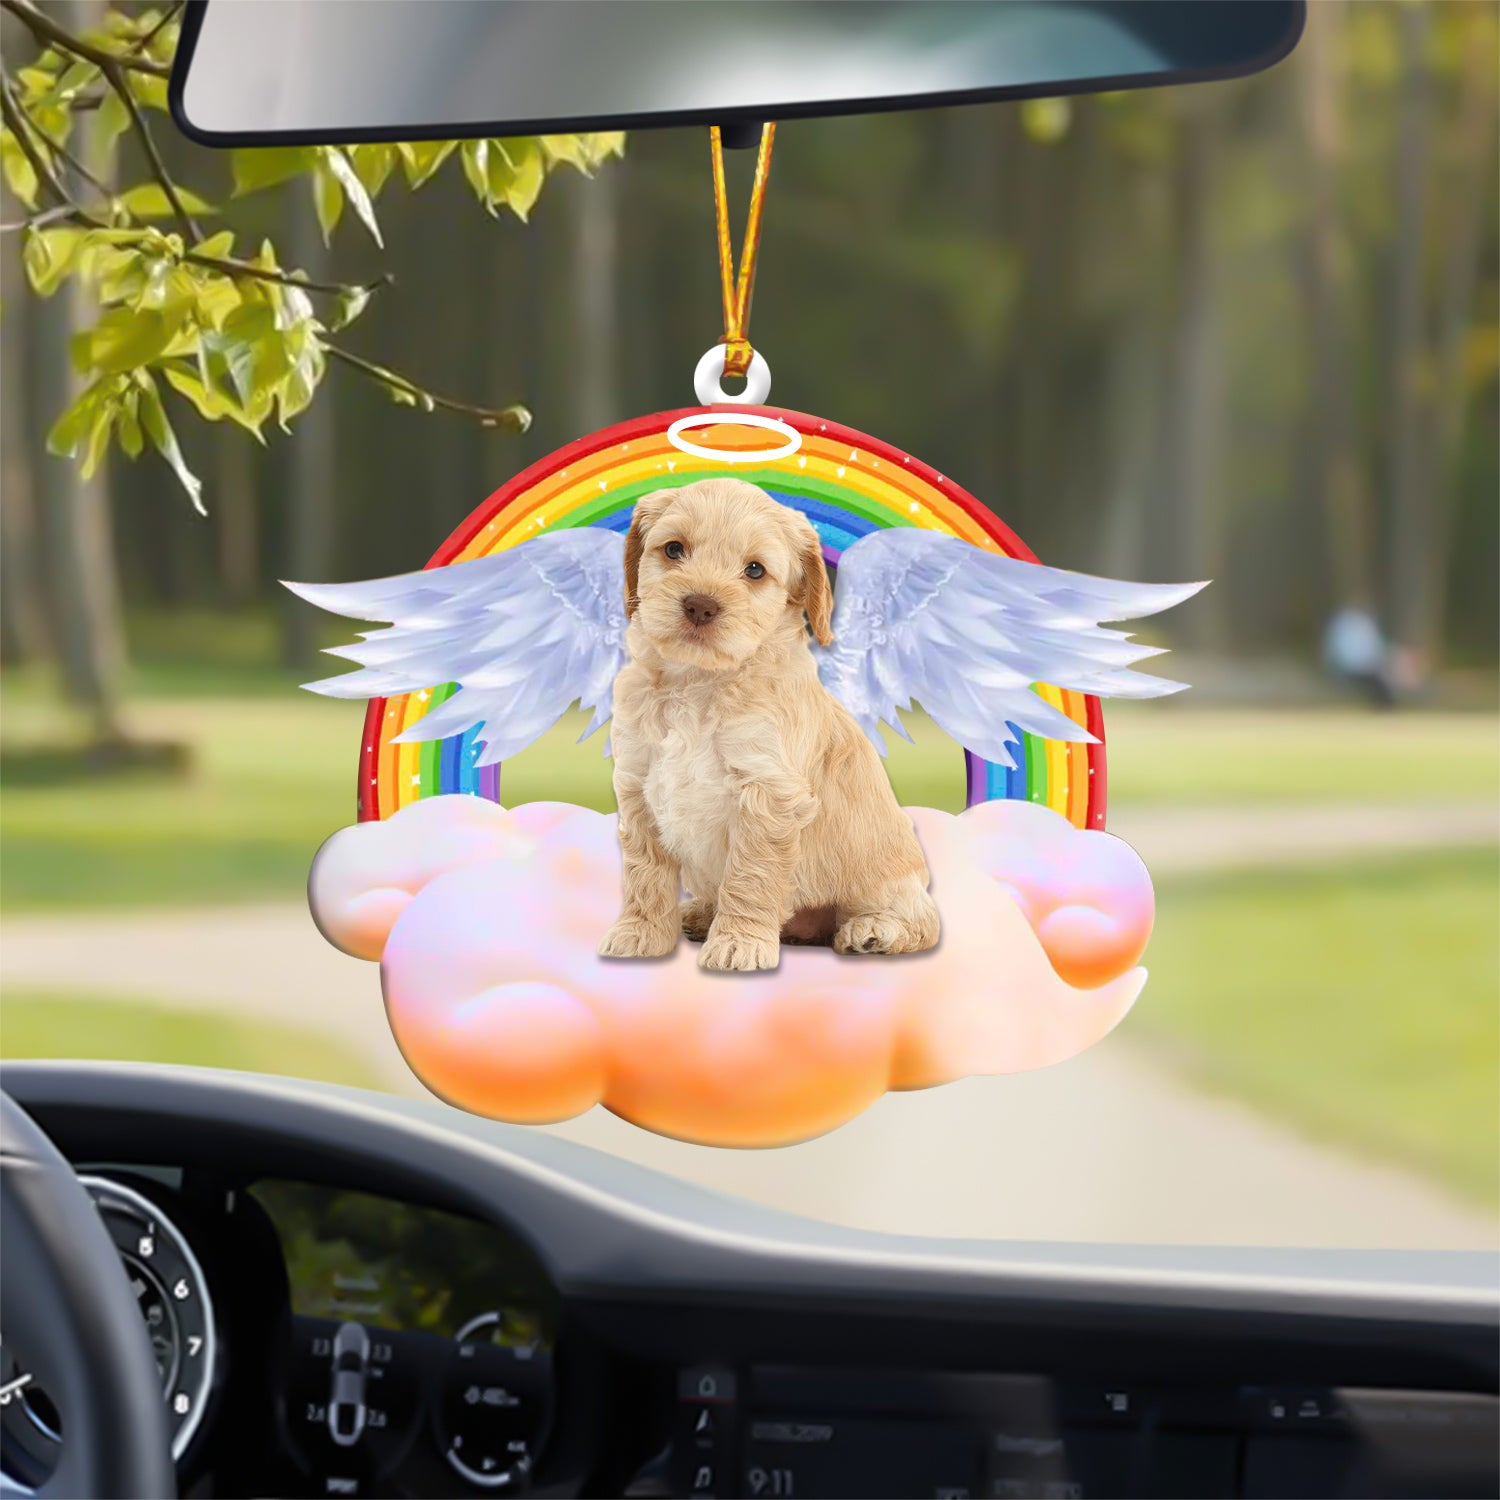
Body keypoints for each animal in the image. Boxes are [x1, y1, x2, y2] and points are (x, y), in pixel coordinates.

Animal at [600, 477, 936, 972]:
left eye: (755, 570)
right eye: (674, 549)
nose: (700, 605)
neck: (699, 683)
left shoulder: (767, 792)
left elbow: (749, 876)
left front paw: (738, 942)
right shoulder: (638, 782)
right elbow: (645, 871)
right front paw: (639, 933)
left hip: (886, 878)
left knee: (921, 919)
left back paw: (874, 930)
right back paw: (699, 914)